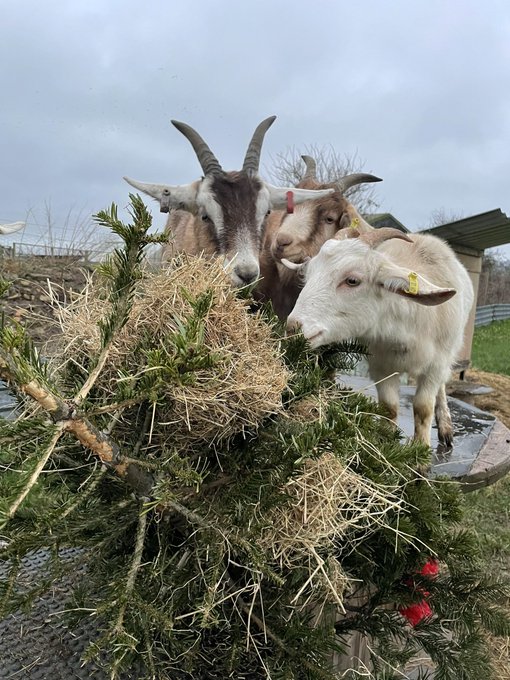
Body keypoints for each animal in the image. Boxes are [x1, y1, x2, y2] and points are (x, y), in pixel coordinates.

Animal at [285, 227, 474, 446]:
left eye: (352, 281)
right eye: (308, 276)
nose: (292, 327)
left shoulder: (435, 364)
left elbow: (423, 408)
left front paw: (421, 450)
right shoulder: (382, 366)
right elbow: (388, 407)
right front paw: (388, 445)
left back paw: (445, 426)